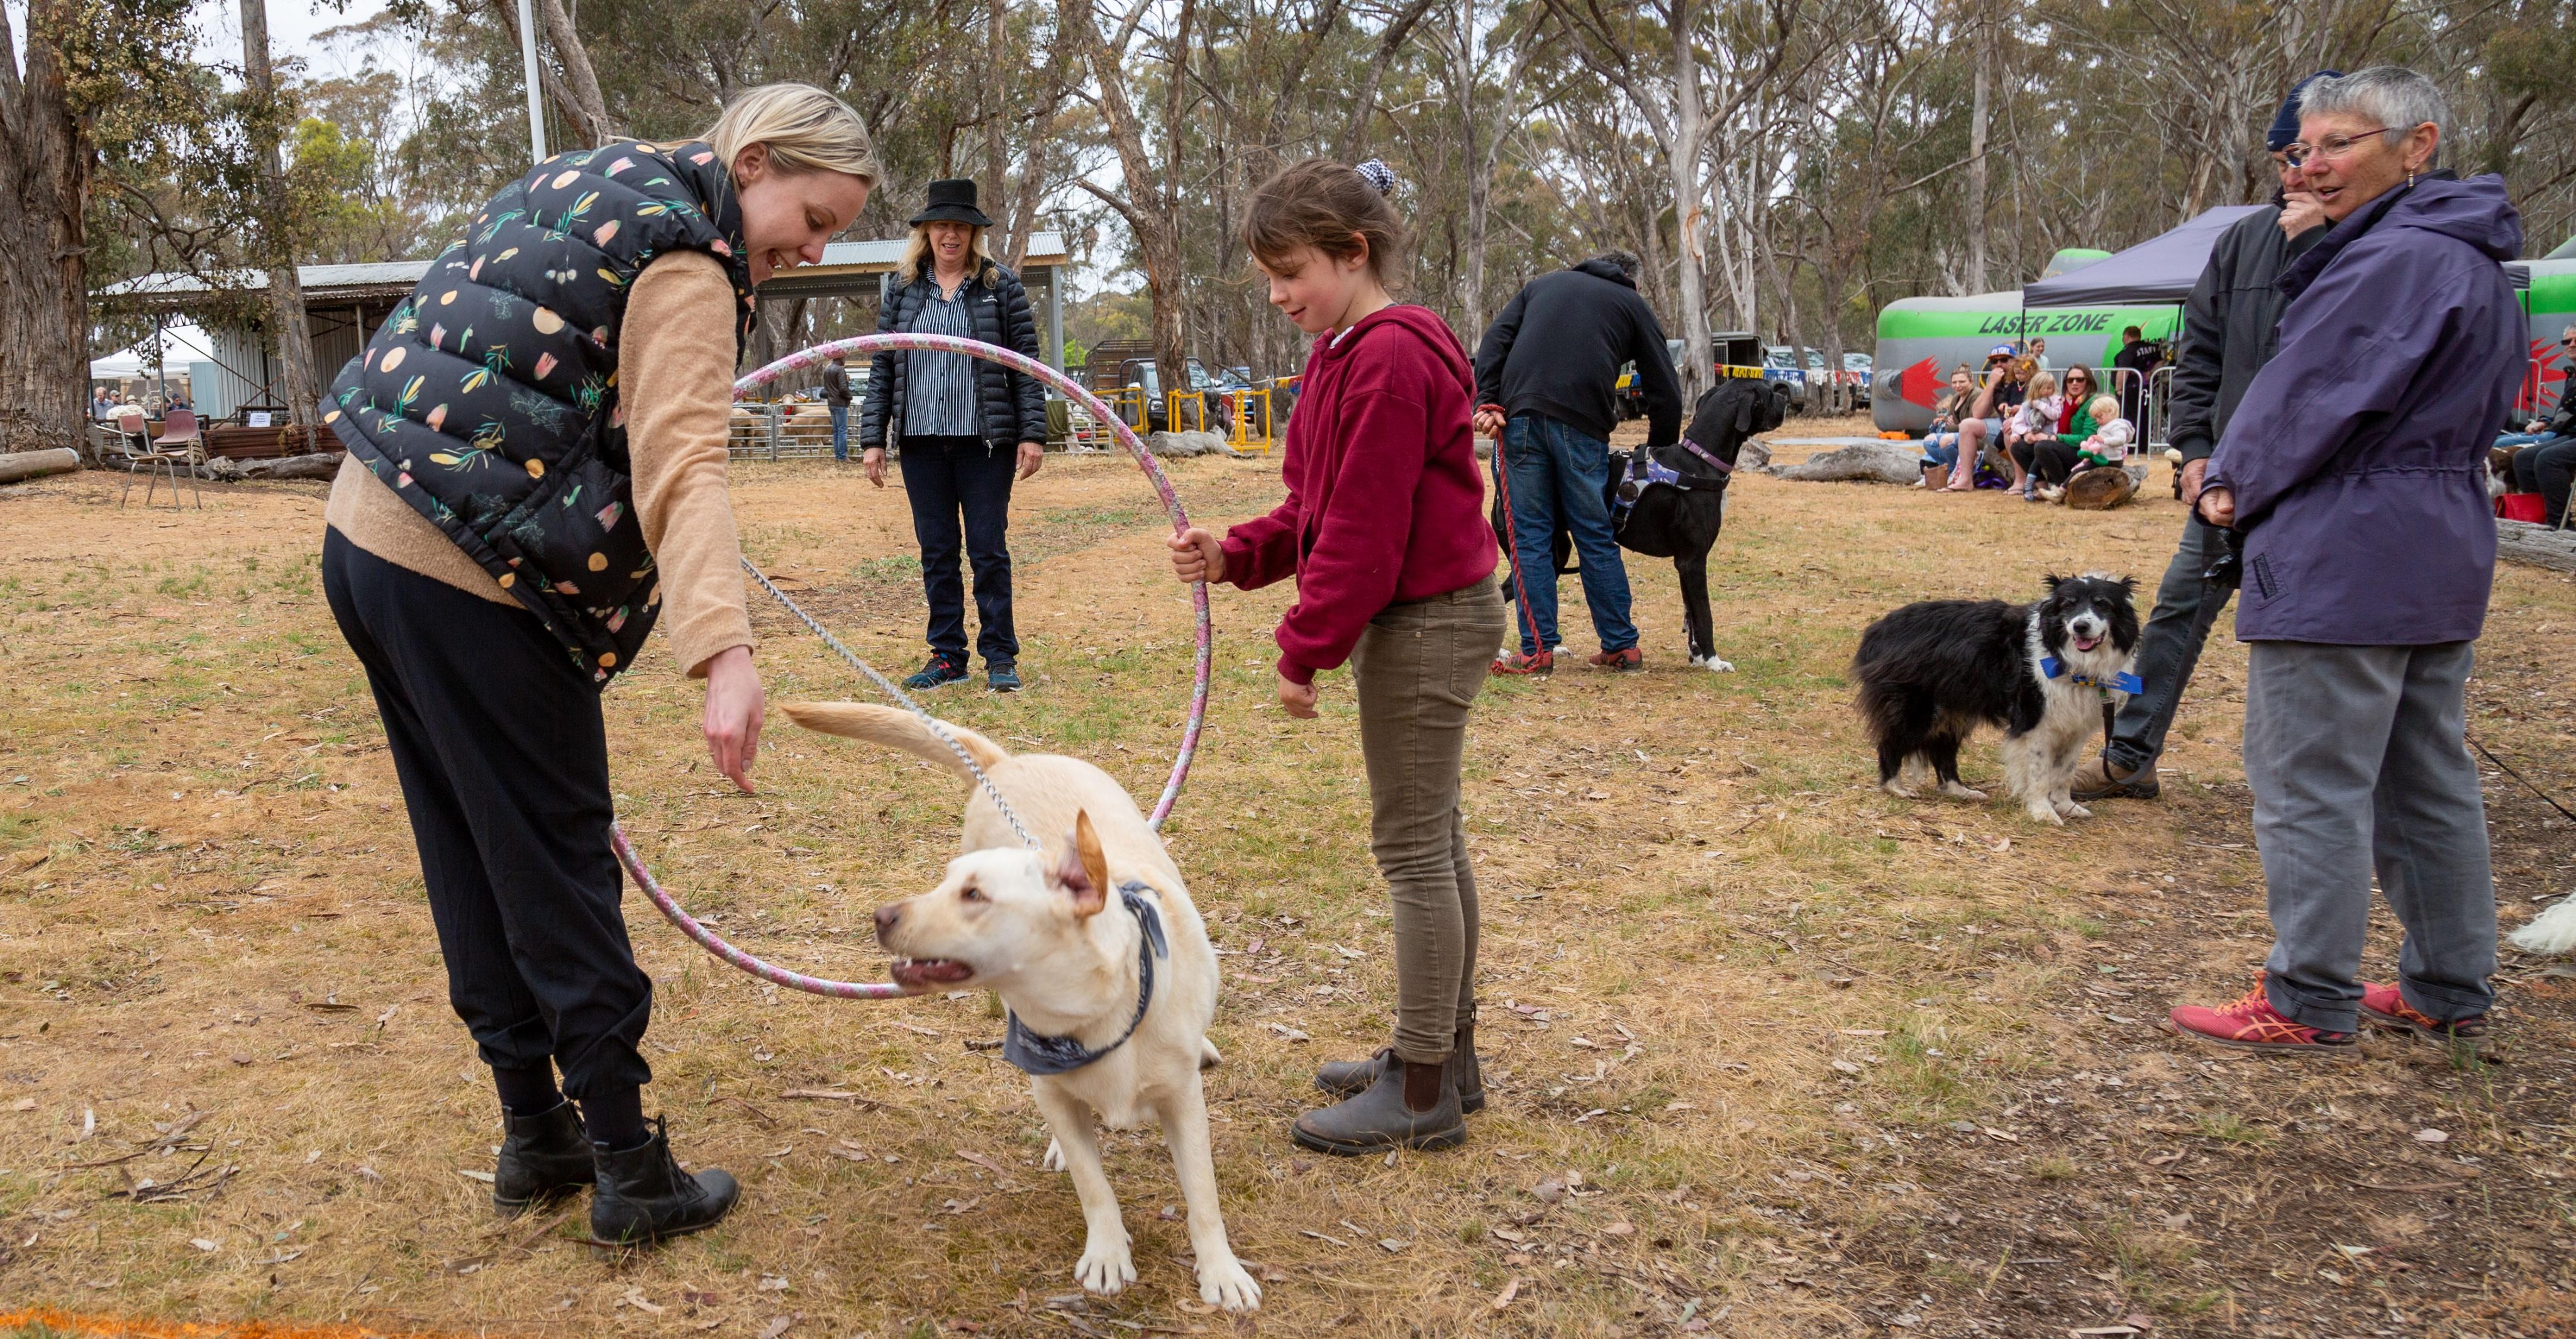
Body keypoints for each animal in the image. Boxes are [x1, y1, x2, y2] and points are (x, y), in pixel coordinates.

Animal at [780, 702, 1260, 1313]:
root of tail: (1010, 761)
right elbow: (1093, 1183)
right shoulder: (1049, 1085)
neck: (1094, 1014)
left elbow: (1203, 1194)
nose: (881, 917)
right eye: (946, 884)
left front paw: (1221, 1271)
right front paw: (1107, 1252)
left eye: (974, 895)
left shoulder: (1184, 1102)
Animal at [1851, 574, 2141, 824]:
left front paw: (2066, 806)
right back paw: (1894, 787)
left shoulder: (2075, 727)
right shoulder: (2035, 721)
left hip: (1953, 709)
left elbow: (2065, 771)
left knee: (1943, 751)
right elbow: (2040, 773)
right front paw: (2043, 812)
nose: (2080, 626)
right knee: (1891, 742)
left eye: (2103, 605)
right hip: (1917, 707)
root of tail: (1878, 629)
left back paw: (1960, 791)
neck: (2067, 657)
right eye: (2068, 605)